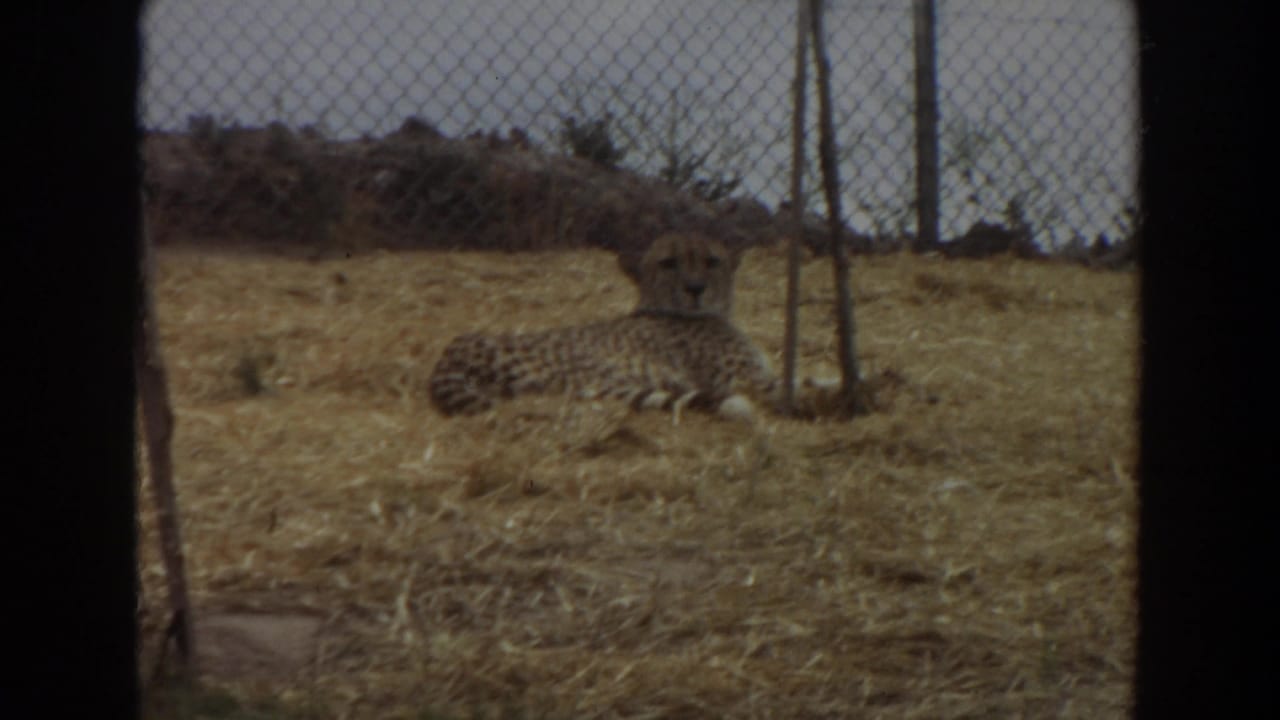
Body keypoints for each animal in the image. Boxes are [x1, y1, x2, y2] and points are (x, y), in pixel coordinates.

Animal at [428, 232, 790, 419]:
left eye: (712, 261)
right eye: (668, 263)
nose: (695, 288)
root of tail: (451, 351)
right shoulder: (746, 378)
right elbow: (786, 385)